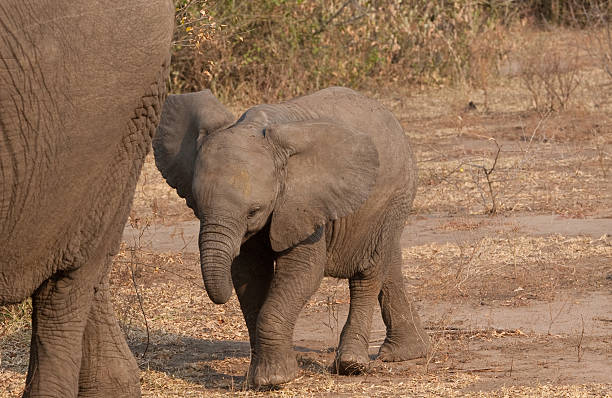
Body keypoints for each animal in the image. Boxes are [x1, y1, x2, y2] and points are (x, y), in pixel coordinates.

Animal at [154, 88, 430, 388]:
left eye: (253, 211)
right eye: (196, 207)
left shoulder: (304, 204)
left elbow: (303, 271)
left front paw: (274, 379)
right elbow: (249, 275)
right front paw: (260, 377)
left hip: (395, 194)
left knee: (368, 271)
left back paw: (352, 365)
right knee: (389, 262)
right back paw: (405, 353)